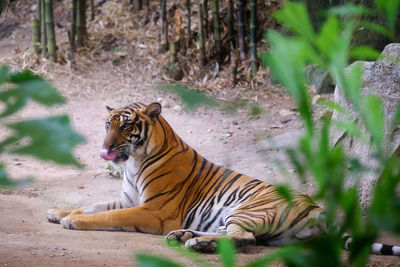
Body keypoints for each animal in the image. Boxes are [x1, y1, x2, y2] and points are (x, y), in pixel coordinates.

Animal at [47, 102, 400, 255]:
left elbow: (107, 216)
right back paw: (186, 236)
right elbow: (92, 205)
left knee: (245, 239)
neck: (133, 162)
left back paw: (196, 242)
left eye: (126, 125)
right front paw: (58, 212)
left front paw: (72, 221)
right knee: (240, 236)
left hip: (250, 209)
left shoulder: (152, 210)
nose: (105, 148)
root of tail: (319, 210)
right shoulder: (128, 198)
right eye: (108, 124)